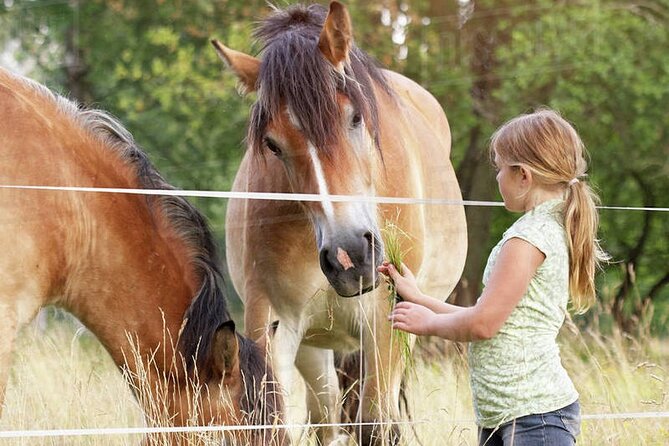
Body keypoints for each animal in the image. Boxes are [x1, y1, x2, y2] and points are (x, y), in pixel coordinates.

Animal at [213, 1, 464, 444]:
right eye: (272, 144)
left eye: (355, 117)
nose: (349, 257)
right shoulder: (271, 321)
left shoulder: (387, 324)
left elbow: (375, 425)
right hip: (315, 347)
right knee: (326, 418)